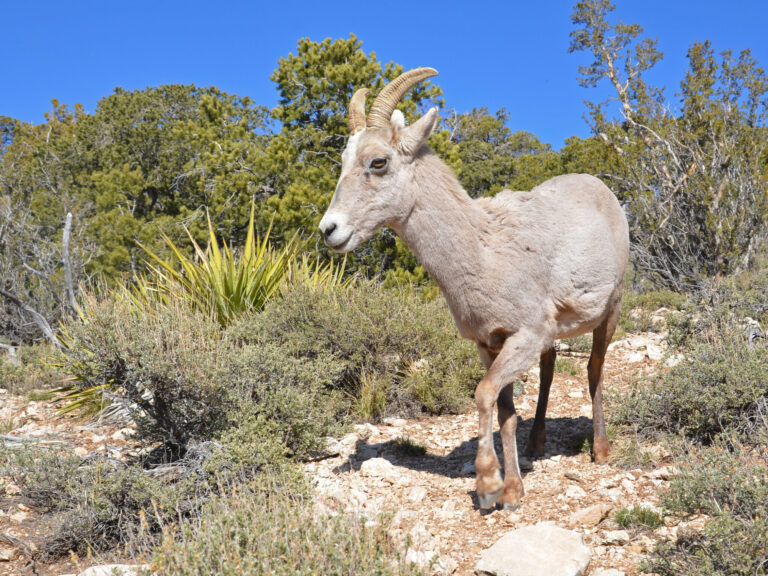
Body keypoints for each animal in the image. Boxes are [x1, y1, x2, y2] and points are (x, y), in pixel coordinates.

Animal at [319, 68, 629, 510]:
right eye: (343, 161)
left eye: (378, 162)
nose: (330, 230)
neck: (483, 251)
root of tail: (600, 188)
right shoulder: (491, 344)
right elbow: (504, 412)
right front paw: (513, 490)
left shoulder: (524, 336)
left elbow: (483, 396)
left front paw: (488, 485)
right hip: (552, 338)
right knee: (550, 371)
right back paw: (536, 445)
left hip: (611, 308)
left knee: (594, 369)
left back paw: (600, 450)